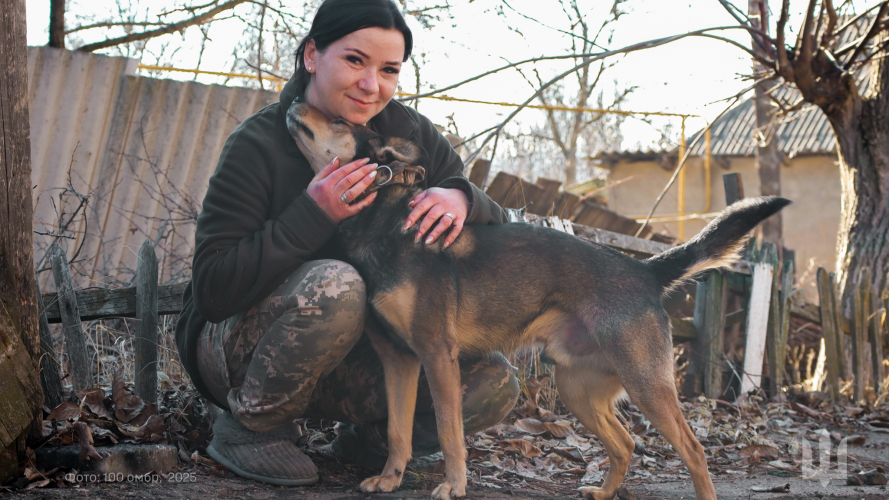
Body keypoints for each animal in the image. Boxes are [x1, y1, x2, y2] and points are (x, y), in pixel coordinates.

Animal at [286, 99, 792, 498]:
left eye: (338, 118)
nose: (293, 100)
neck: (383, 222)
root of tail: (644, 270)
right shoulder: (399, 361)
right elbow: (397, 431)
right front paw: (390, 479)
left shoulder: (436, 356)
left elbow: (449, 432)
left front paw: (454, 485)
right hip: (577, 388)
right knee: (625, 443)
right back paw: (603, 492)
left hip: (647, 384)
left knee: (693, 450)